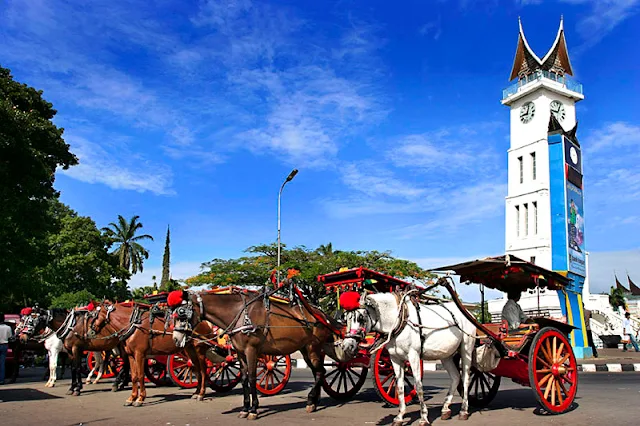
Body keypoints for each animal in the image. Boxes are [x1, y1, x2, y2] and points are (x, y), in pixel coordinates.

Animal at [169, 286, 336, 420]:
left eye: (182, 313)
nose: (176, 339)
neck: (240, 314)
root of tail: (320, 314)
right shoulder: (241, 353)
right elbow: (244, 379)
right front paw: (245, 408)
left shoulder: (251, 350)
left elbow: (251, 377)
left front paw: (254, 409)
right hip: (305, 349)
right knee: (317, 372)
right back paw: (314, 401)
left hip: (313, 347)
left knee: (320, 371)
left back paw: (311, 400)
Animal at [340, 292, 476, 426]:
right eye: (345, 318)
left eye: (361, 318)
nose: (347, 345)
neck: (398, 320)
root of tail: (468, 312)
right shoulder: (395, 358)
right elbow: (399, 387)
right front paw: (399, 417)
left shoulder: (414, 356)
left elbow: (418, 386)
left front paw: (424, 418)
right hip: (446, 355)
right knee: (455, 377)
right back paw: (445, 409)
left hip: (466, 349)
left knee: (465, 378)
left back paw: (463, 410)